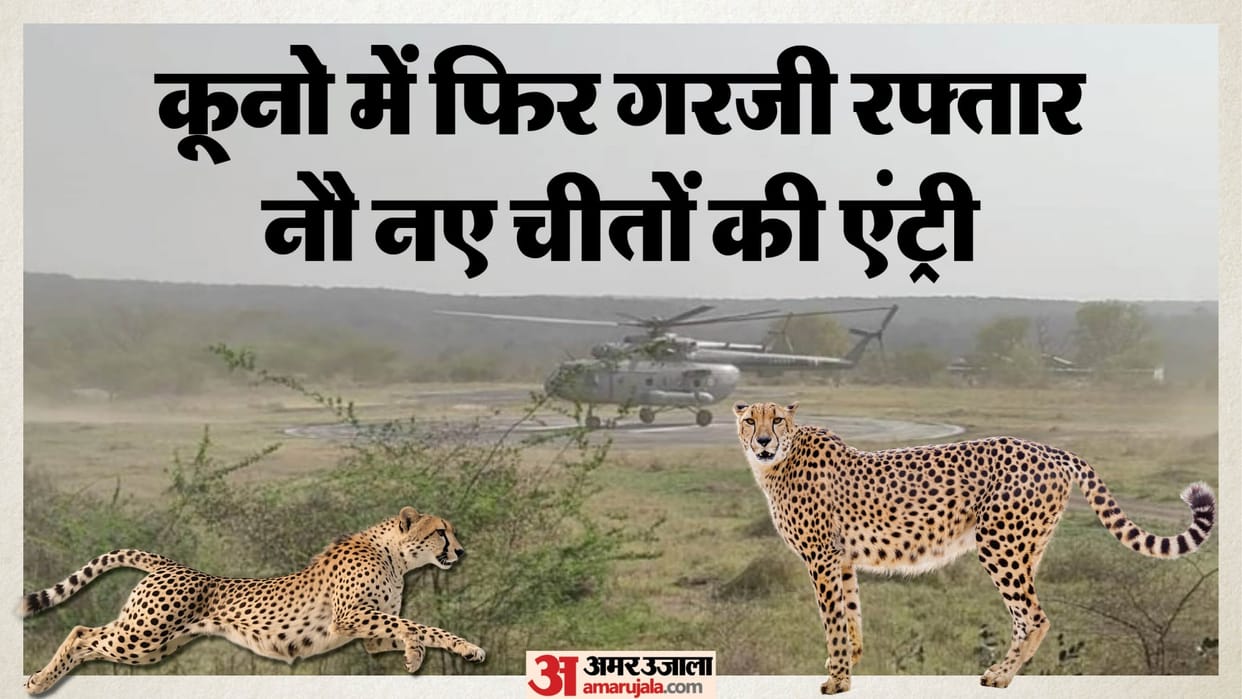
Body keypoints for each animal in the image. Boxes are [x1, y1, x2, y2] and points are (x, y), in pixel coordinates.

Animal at [20, 506, 485, 694]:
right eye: (441, 532)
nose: (462, 552)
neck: (394, 555)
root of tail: (173, 565)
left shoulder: (367, 630)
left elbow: (406, 629)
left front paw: (413, 656)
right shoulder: (350, 615)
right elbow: (423, 626)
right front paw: (467, 647)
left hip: (156, 645)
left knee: (88, 638)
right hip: (143, 636)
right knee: (80, 631)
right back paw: (39, 681)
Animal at [733, 401, 1217, 694]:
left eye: (776, 420)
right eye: (749, 420)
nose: (763, 441)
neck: (781, 459)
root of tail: (1050, 449)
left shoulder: (821, 558)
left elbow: (832, 619)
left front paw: (836, 679)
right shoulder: (843, 559)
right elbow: (850, 615)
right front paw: (849, 664)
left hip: (998, 543)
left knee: (1034, 615)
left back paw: (1001, 677)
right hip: (1026, 547)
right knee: (1023, 614)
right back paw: (1000, 670)